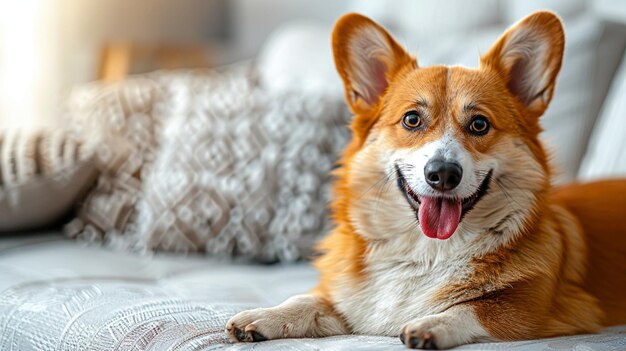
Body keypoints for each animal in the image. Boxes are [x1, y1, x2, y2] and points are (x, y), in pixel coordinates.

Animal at [224, 10, 624, 350]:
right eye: (412, 120)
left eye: (480, 124)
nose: (442, 173)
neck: (426, 252)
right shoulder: (351, 305)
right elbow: (307, 300)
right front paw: (263, 315)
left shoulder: (538, 310)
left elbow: (476, 308)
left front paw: (431, 323)